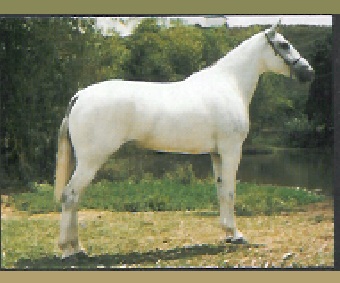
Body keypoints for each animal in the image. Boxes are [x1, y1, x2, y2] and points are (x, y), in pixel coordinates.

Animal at [55, 21, 314, 260]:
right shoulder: (232, 150)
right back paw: (69, 250)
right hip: (91, 160)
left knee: (74, 198)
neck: (229, 84)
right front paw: (237, 235)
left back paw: (76, 247)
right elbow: (230, 192)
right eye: (284, 44)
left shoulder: (217, 153)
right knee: (70, 196)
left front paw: (228, 233)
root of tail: (80, 96)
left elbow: (221, 191)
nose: (309, 72)